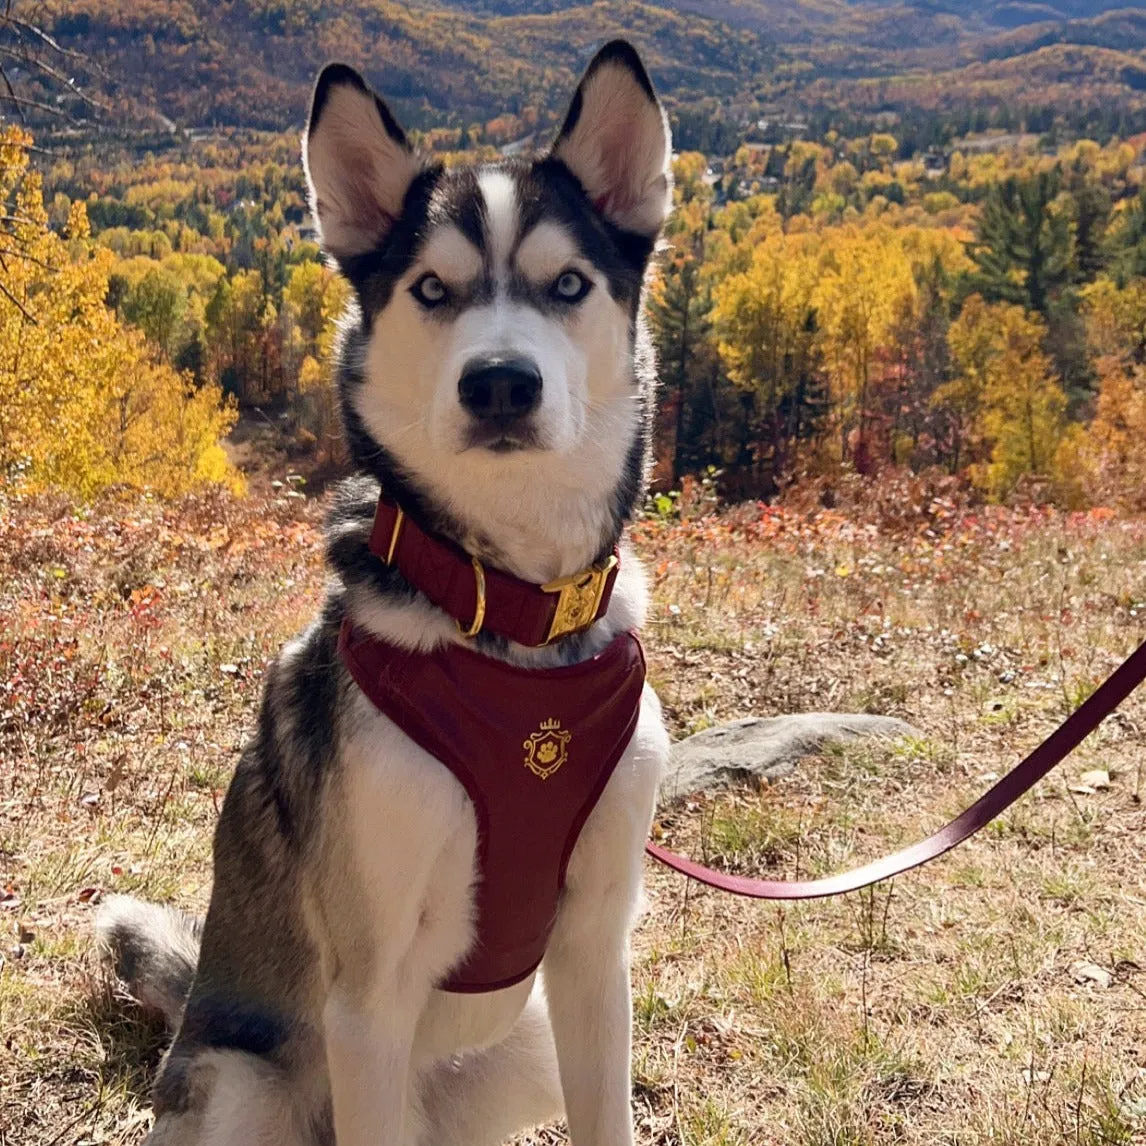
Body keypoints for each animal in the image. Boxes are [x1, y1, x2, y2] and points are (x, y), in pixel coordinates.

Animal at [98, 38, 673, 1146]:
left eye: (569, 283)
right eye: (433, 290)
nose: (501, 384)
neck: (510, 610)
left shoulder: (595, 952)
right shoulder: (367, 997)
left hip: (528, 1047)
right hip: (245, 1084)